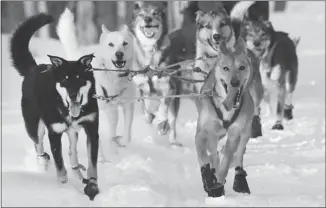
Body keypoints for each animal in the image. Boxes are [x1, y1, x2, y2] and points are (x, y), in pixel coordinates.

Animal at [10, 12, 99, 200]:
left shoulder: (91, 128)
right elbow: (59, 162)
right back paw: (43, 161)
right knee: (38, 145)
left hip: (72, 131)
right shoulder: (55, 132)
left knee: (72, 152)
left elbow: (92, 162)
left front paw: (92, 184)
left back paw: (77, 172)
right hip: (34, 126)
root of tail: (34, 69)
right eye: (65, 79)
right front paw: (63, 182)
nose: (72, 95)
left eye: (79, 78)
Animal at [56, 8, 136, 153]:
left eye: (125, 43)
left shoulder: (128, 105)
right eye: (111, 44)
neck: (113, 77)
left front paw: (119, 141)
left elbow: (126, 135)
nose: (119, 54)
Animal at [195, 37, 264, 198]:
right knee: (213, 152)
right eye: (226, 68)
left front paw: (219, 182)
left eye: (241, 67)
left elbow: (226, 160)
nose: (234, 82)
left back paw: (239, 179)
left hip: (245, 131)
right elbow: (204, 155)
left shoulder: (234, 133)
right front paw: (208, 178)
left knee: (238, 154)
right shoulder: (202, 132)